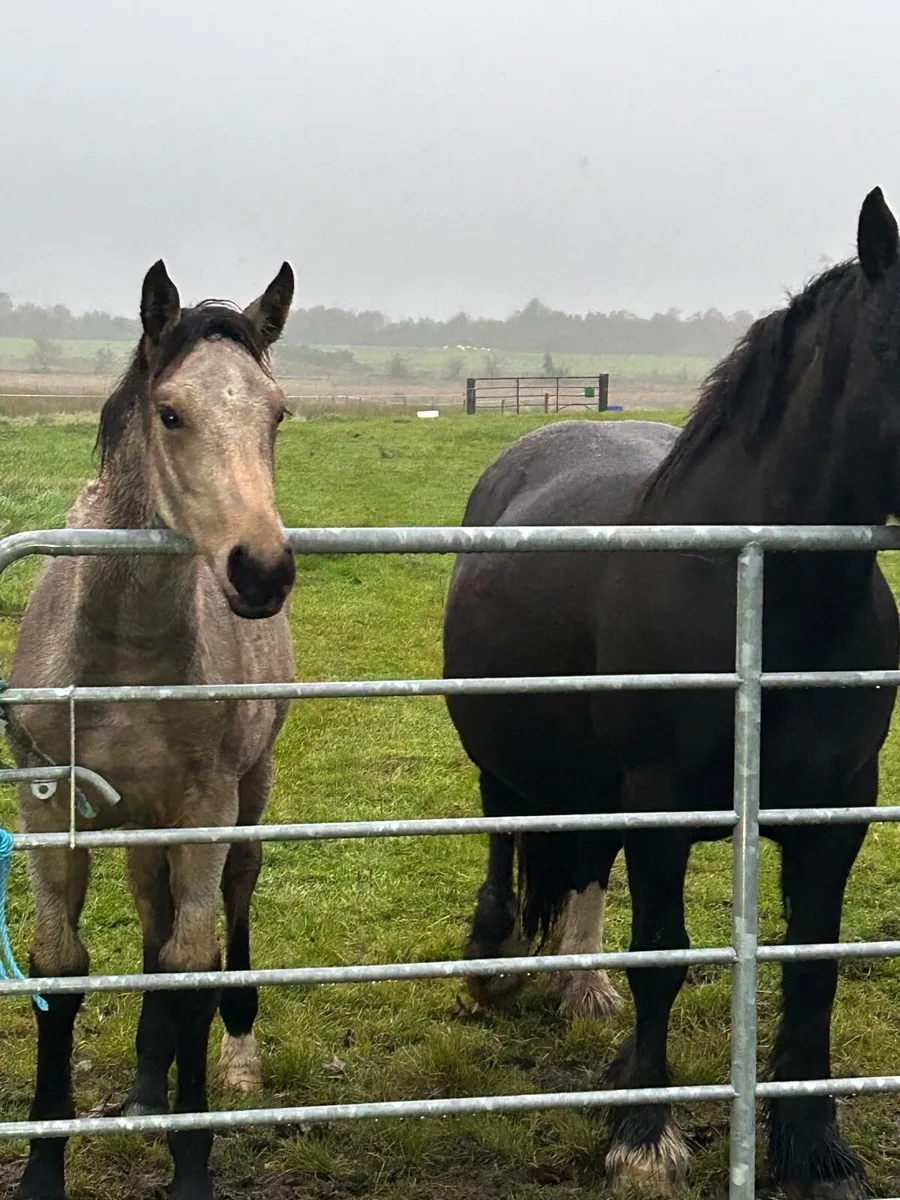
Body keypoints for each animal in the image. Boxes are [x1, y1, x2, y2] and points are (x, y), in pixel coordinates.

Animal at [8, 259, 296, 1200]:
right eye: (171, 412)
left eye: (276, 414)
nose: (262, 569)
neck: (126, 654)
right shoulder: (47, 807)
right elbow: (61, 972)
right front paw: (42, 1169)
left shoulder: (205, 809)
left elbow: (191, 968)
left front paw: (192, 1162)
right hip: (137, 821)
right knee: (149, 915)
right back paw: (143, 1081)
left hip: (246, 796)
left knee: (226, 907)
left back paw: (232, 1058)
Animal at [443, 186, 900, 1197]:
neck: (758, 591)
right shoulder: (661, 803)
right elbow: (663, 956)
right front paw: (643, 1133)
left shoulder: (838, 808)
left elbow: (814, 969)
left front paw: (814, 1145)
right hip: (509, 754)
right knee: (507, 830)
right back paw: (494, 963)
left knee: (582, 858)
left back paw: (581, 986)